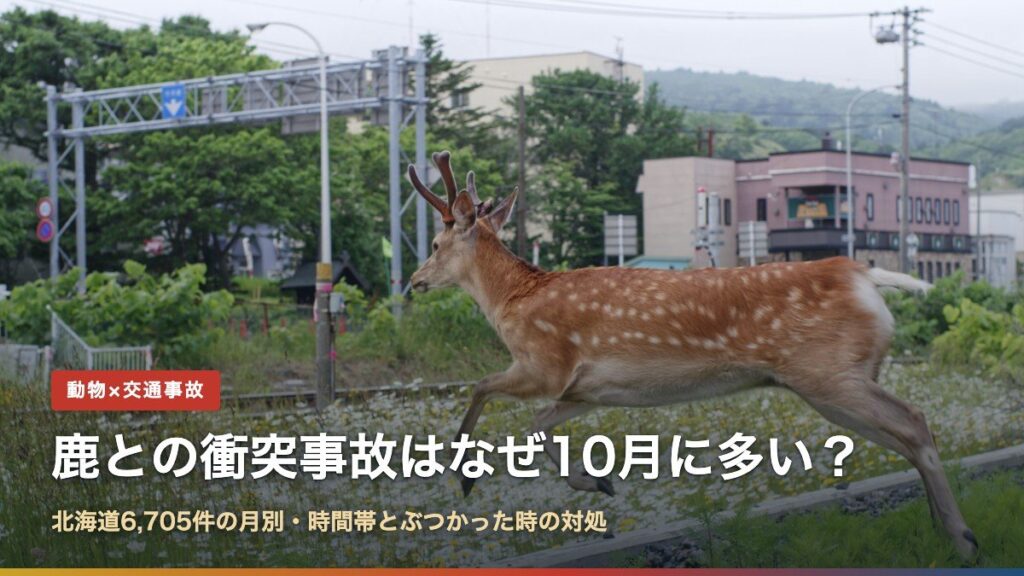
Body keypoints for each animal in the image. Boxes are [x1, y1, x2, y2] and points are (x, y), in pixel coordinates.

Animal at [407, 151, 979, 560]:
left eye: (434, 244)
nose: (413, 282)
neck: (512, 302)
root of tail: (865, 275)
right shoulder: (586, 389)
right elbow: (536, 426)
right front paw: (596, 480)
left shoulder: (545, 361)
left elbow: (482, 388)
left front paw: (464, 477)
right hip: (834, 380)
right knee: (905, 435)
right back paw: (943, 530)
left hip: (828, 372)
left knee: (914, 422)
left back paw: (961, 537)